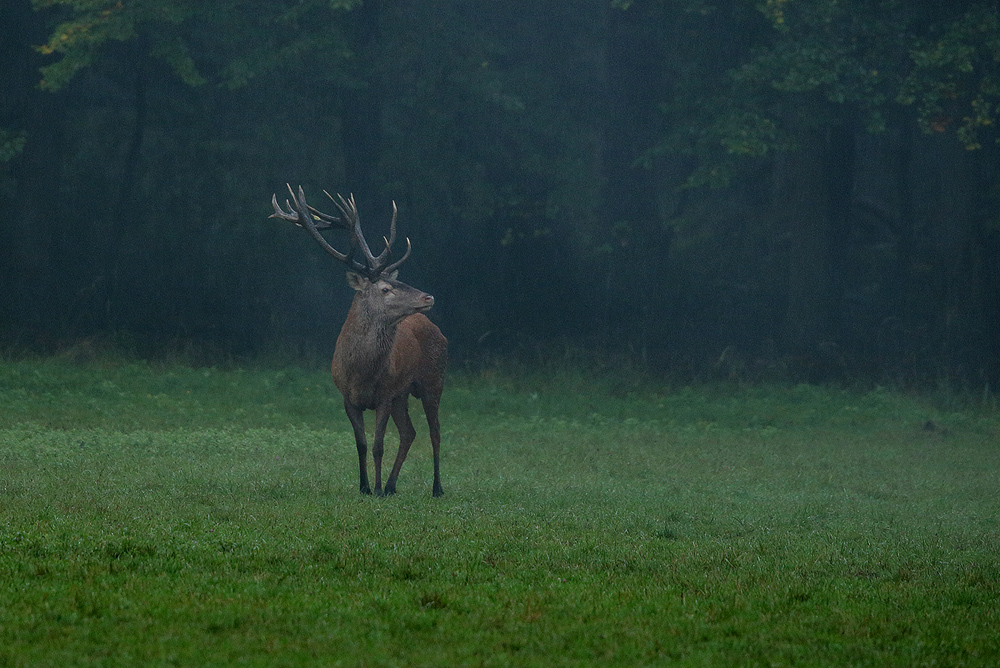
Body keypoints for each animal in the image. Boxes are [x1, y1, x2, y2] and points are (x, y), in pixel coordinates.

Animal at [272, 184, 448, 496]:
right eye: (386, 288)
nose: (428, 297)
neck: (361, 373)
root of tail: (435, 327)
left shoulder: (385, 395)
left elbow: (378, 445)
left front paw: (374, 488)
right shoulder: (348, 398)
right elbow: (362, 444)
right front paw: (365, 487)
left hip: (433, 380)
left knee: (435, 432)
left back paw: (435, 488)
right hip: (403, 394)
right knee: (409, 432)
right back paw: (391, 485)